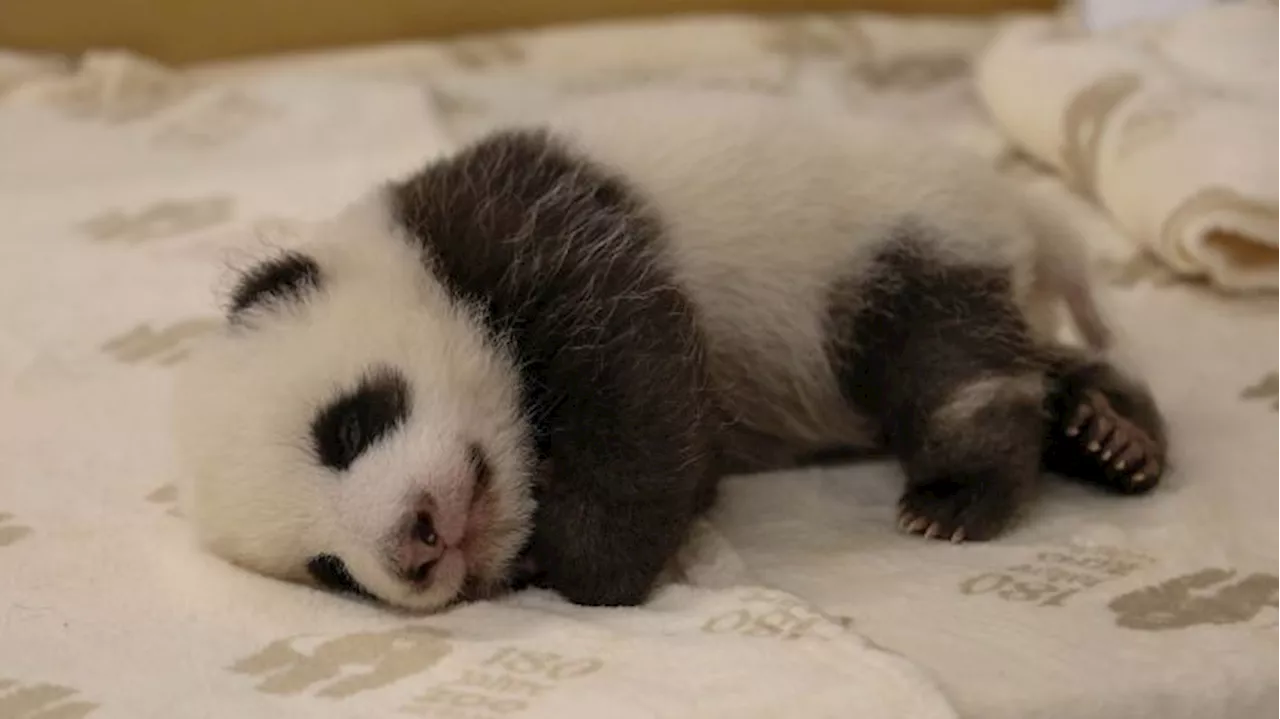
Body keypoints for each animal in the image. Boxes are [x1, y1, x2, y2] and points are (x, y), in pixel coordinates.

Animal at [172, 83, 1172, 608]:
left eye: (346, 426)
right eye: (332, 570)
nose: (415, 545)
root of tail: (1027, 214)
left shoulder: (544, 226)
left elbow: (639, 379)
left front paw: (584, 563)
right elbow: (685, 443)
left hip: (893, 237)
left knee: (950, 362)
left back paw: (967, 490)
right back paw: (1107, 434)